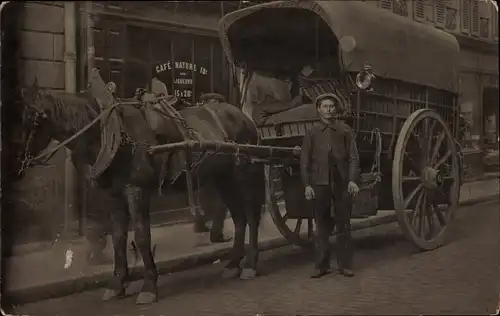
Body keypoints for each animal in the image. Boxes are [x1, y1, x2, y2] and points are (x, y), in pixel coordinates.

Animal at [20, 78, 266, 304]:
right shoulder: (115, 196)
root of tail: (245, 118)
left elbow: (141, 236)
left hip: (245, 173)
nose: (20, 163)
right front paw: (117, 283)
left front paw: (148, 285)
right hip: (224, 179)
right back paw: (233, 264)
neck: (112, 131)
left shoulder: (136, 190)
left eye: (34, 119)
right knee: (239, 218)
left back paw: (250, 264)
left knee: (252, 216)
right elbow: (118, 237)